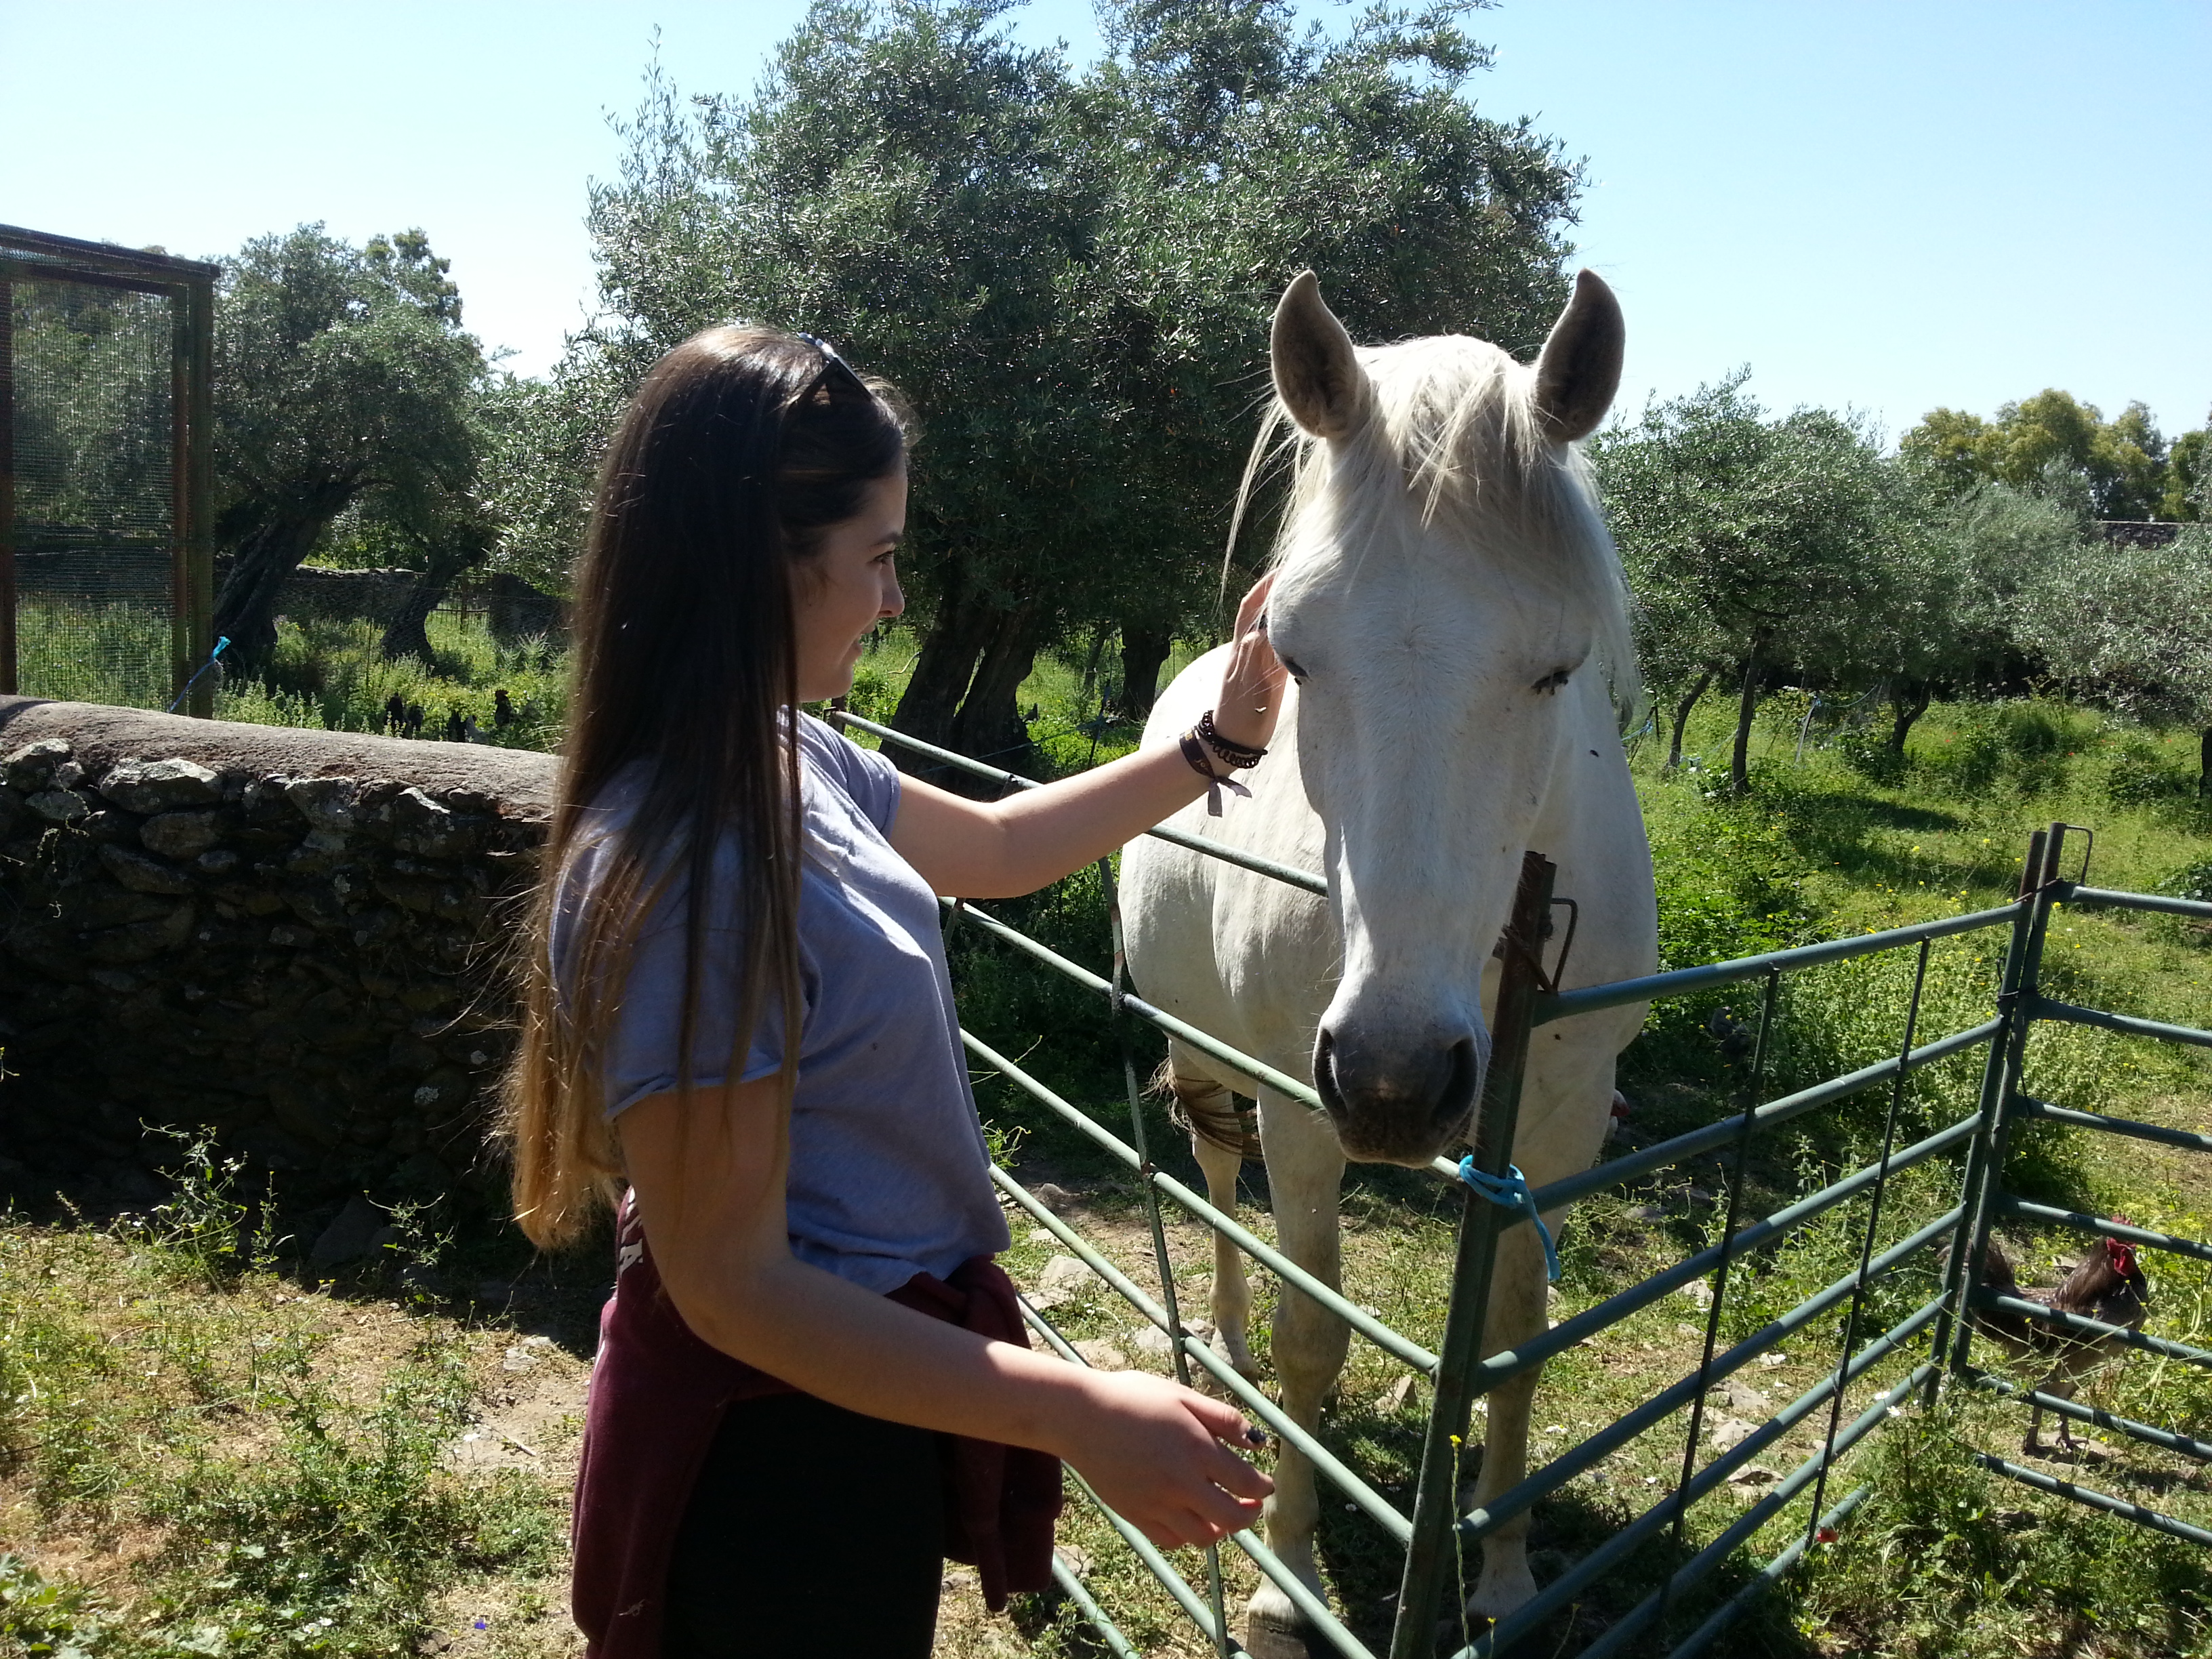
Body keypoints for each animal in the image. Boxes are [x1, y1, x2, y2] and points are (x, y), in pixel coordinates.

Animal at [1124, 270, 1663, 1654]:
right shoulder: (1302, 1113)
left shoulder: (1559, 1119)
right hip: (1213, 1062)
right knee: (1221, 1191)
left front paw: (1505, 1575)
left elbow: (1516, 1340)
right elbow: (1314, 1333)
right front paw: (1286, 1578)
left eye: (1556, 666)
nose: (1394, 1080)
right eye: (1300, 653)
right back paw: (1224, 1344)